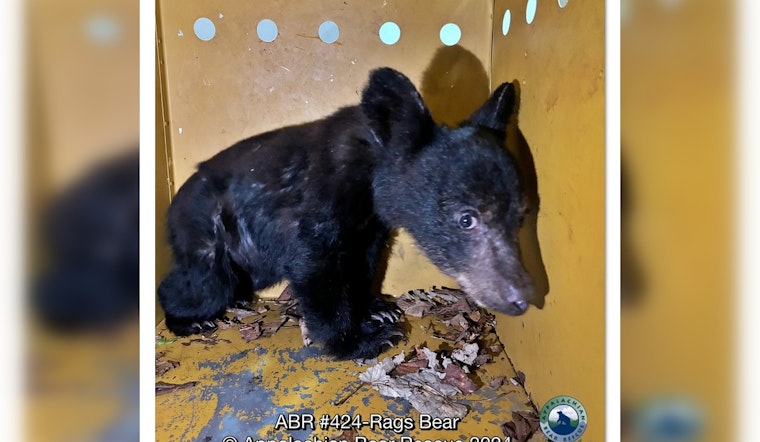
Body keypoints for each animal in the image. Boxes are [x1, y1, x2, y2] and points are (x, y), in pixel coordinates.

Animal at [158, 68, 534, 359]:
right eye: (466, 219)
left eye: (520, 216)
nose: (520, 299)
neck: (370, 178)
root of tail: (173, 206)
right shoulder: (320, 203)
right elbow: (314, 268)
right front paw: (359, 341)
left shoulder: (368, 225)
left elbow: (361, 263)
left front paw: (376, 310)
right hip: (211, 236)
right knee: (201, 284)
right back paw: (191, 319)